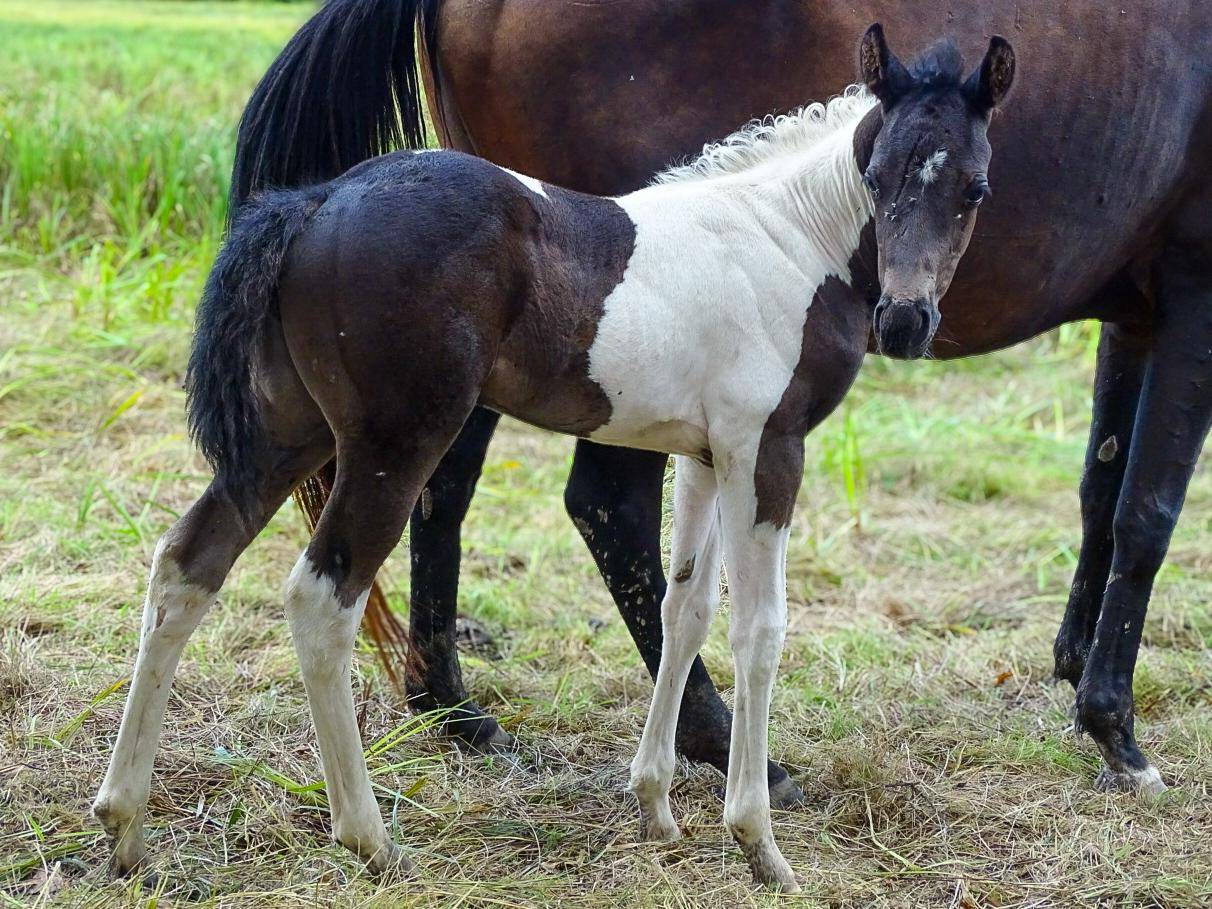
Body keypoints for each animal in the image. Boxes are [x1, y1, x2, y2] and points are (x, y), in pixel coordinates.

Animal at [91, 26, 1014, 887]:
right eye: (878, 177)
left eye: (974, 188)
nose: (906, 319)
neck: (789, 236)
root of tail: (318, 199)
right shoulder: (768, 448)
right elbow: (759, 627)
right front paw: (758, 841)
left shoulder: (707, 453)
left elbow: (685, 609)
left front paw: (656, 807)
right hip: (394, 443)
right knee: (322, 598)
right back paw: (369, 837)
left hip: (289, 434)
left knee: (187, 563)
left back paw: (126, 824)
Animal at [230, 0, 1212, 805]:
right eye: (876, 179)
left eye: (977, 190)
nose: (904, 321)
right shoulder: (1192, 291)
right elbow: (1149, 512)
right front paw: (1117, 730)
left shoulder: (1134, 313)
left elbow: (1101, 490)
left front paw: (1074, 671)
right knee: (602, 506)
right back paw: (714, 741)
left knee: (449, 483)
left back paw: (452, 707)